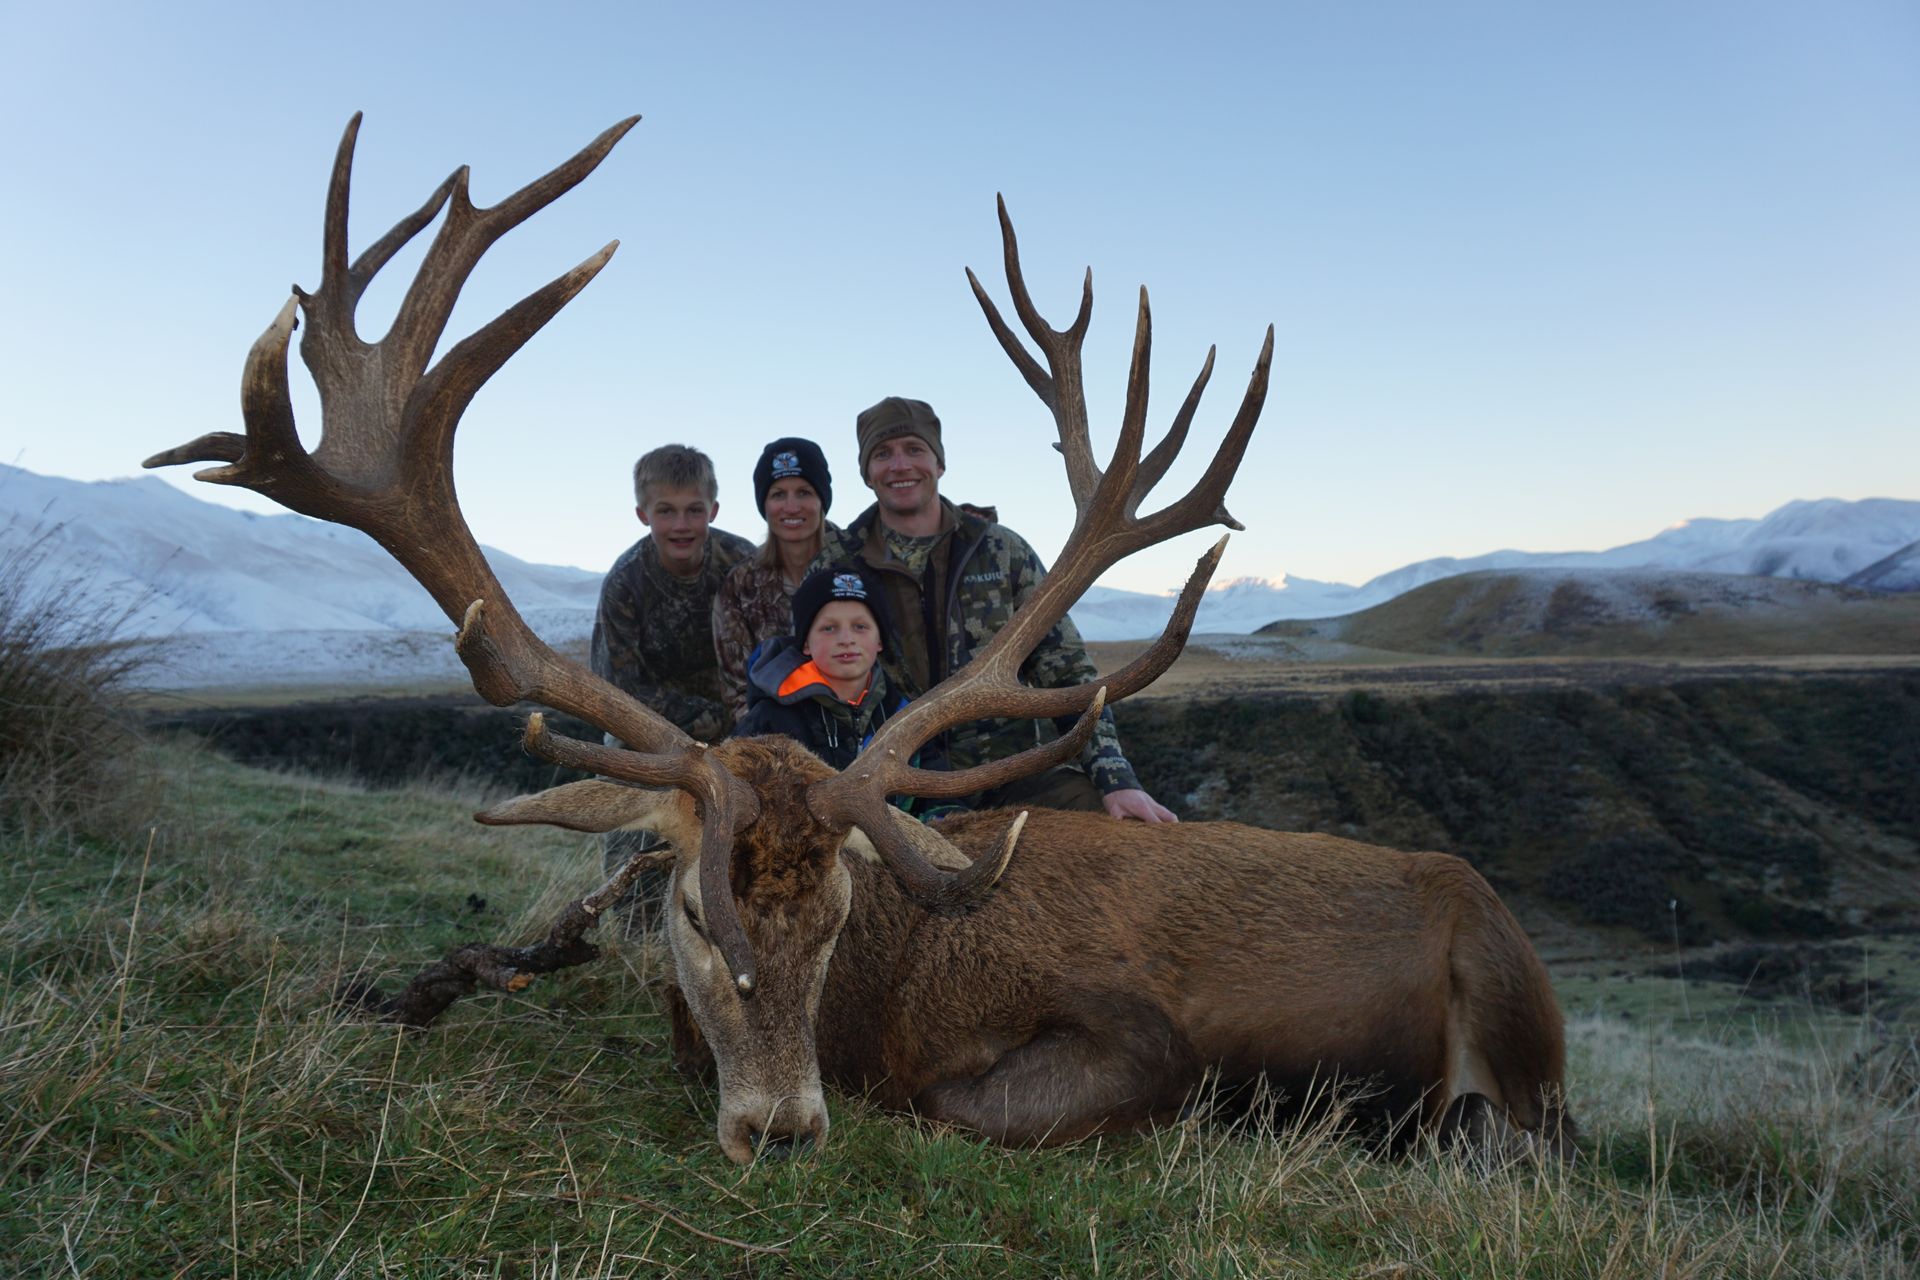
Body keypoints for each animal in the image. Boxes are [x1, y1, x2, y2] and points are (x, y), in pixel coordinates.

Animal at [146, 116, 1571, 1166]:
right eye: (692, 909)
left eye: (837, 912)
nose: (780, 1128)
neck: (889, 1002)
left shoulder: (1140, 1033)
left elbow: (972, 1101)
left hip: (1515, 1005)